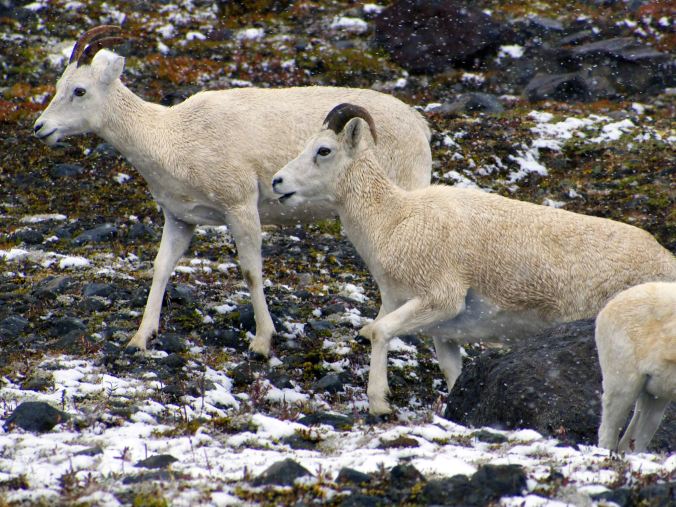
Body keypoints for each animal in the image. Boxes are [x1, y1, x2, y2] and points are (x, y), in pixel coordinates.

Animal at [33, 26, 432, 357]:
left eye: (79, 90)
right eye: (59, 84)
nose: (40, 128)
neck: (172, 136)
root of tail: (420, 125)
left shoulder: (240, 207)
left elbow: (251, 272)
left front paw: (262, 343)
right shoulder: (179, 219)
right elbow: (161, 268)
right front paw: (139, 339)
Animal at [271, 103, 676, 415]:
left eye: (324, 150)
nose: (277, 182)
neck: (394, 221)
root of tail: (665, 263)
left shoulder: (439, 300)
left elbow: (378, 332)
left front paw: (380, 405)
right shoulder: (443, 333)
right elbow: (452, 376)